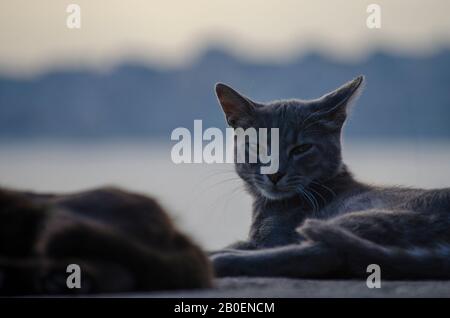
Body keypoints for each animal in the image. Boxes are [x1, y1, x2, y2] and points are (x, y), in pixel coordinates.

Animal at [211, 76, 450, 278]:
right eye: (257, 146)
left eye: (302, 149)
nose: (275, 174)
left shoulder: (273, 238)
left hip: (367, 215)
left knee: (324, 254)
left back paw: (222, 260)